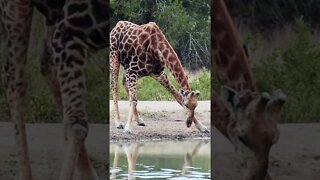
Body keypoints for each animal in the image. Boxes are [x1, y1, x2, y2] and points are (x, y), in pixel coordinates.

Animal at [0, 0, 109, 180]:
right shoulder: (67, 35)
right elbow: (76, 125)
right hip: (17, 6)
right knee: (15, 77)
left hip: (51, 19)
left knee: (46, 66)